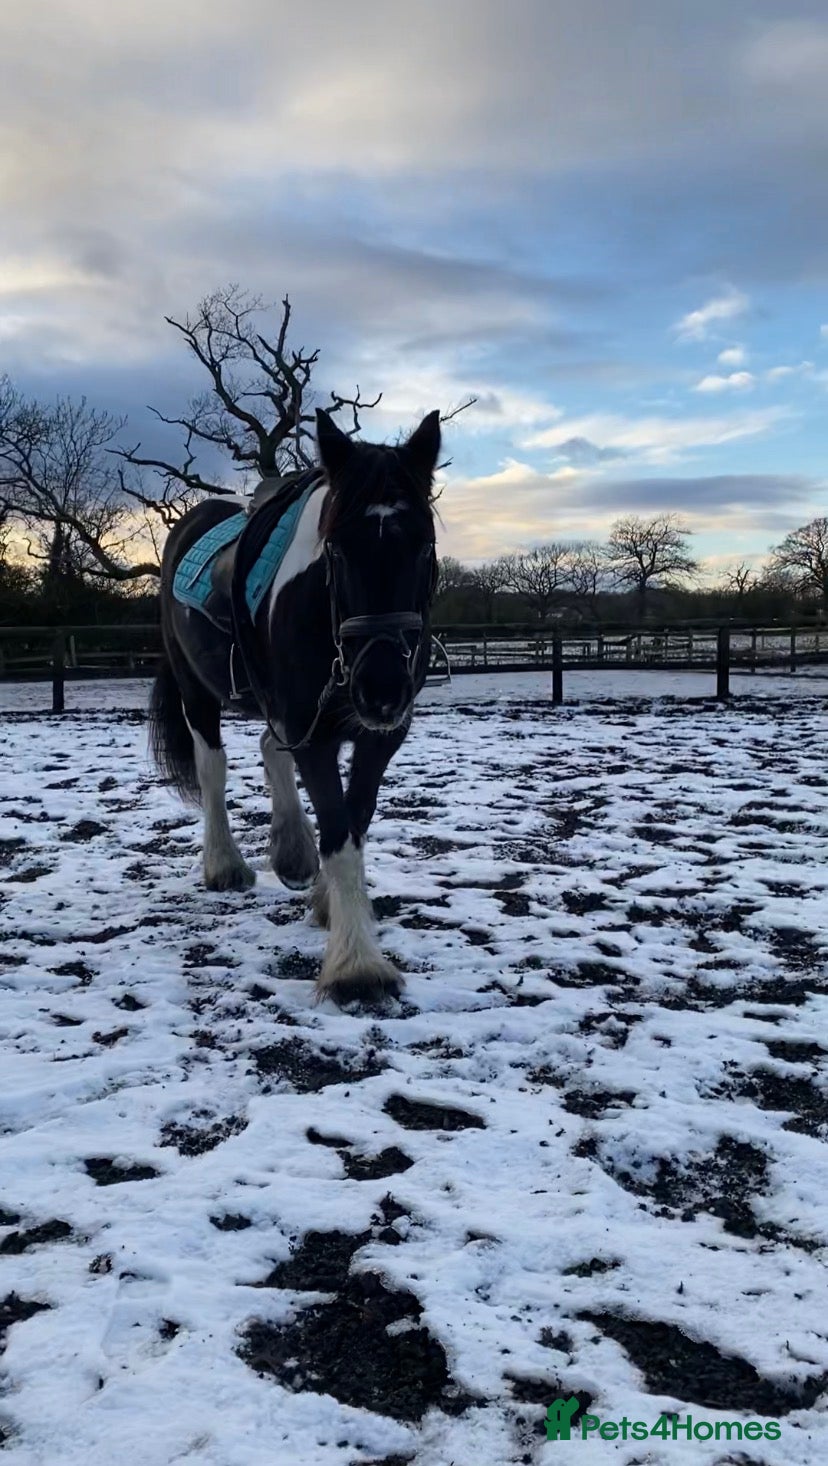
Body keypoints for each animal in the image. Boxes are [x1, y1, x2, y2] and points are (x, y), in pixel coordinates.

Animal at [149, 407, 441, 1006]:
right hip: (197, 692)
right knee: (213, 768)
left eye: (424, 546)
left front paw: (331, 906)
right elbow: (338, 830)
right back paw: (225, 866)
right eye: (338, 550)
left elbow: (354, 820)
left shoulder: (378, 735)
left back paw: (292, 853)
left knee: (269, 745)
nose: (380, 688)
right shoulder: (316, 730)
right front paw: (357, 966)